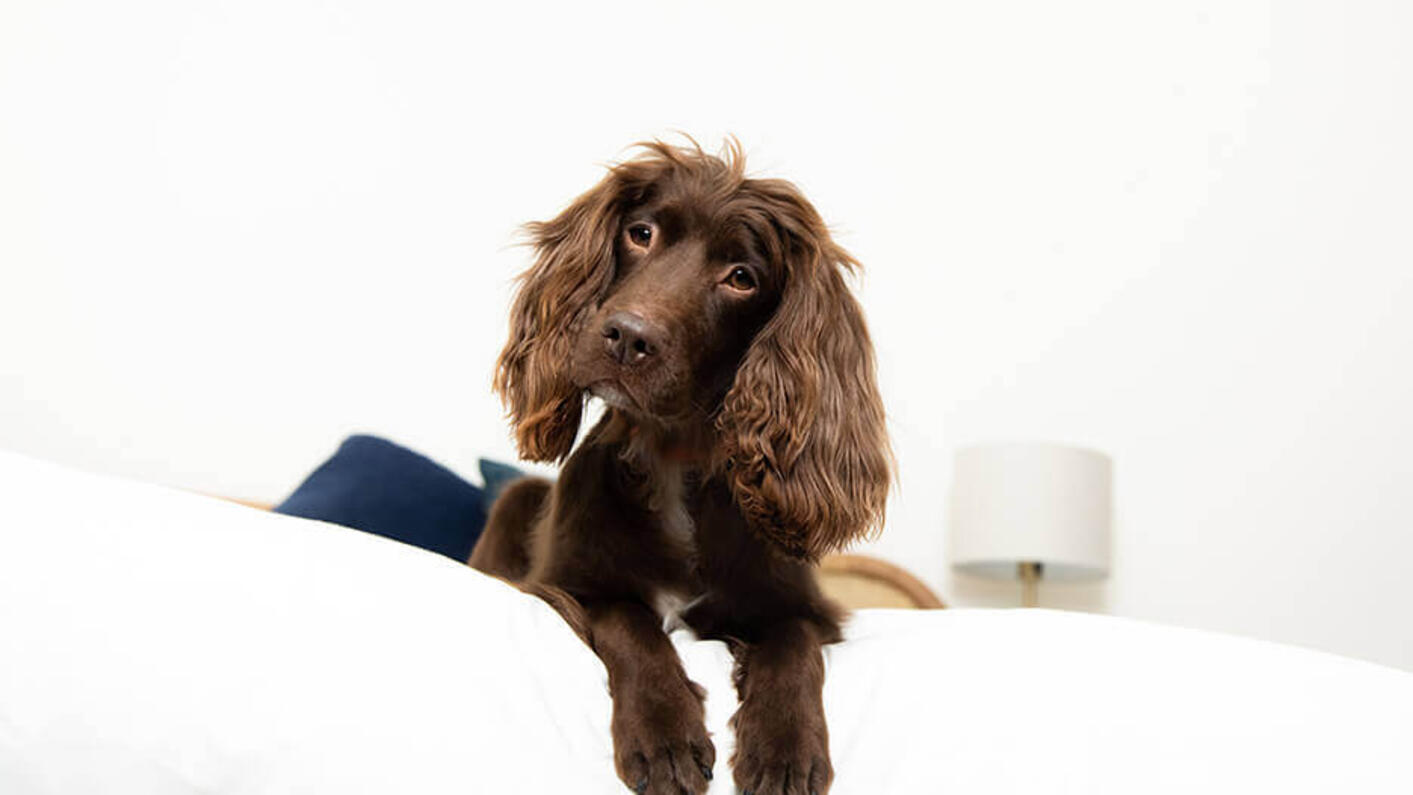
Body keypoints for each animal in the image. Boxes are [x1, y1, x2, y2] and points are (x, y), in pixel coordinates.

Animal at [474, 141, 893, 795]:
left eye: (742, 278)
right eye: (640, 234)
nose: (627, 337)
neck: (672, 457)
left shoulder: (806, 609)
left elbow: (793, 644)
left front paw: (784, 749)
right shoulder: (563, 587)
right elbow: (629, 620)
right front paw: (664, 734)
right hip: (518, 496)